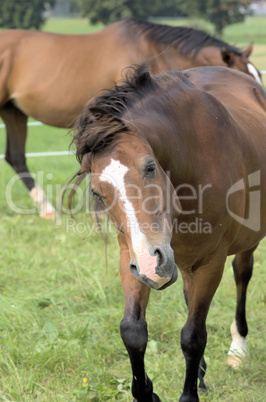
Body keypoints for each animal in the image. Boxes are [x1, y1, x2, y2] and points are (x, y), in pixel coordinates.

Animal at [71, 66, 266, 402]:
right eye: (97, 192)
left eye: (150, 167)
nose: (153, 266)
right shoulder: (132, 257)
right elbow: (133, 331)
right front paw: (147, 393)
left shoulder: (210, 263)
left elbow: (193, 336)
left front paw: (188, 395)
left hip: (243, 244)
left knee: (242, 274)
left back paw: (238, 349)